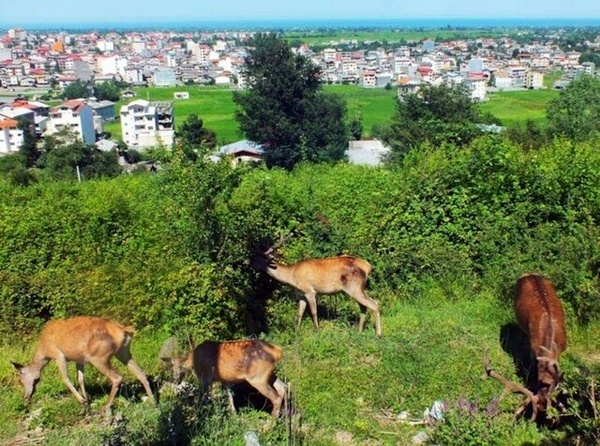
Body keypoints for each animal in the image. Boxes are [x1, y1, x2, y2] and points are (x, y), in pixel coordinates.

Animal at [12, 316, 157, 412]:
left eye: (20, 379)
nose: (25, 397)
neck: (44, 351)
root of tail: (124, 331)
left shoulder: (59, 355)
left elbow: (65, 378)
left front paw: (82, 400)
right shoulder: (79, 360)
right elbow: (80, 379)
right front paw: (86, 400)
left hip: (99, 357)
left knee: (117, 377)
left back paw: (105, 407)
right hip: (124, 352)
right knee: (141, 373)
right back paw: (153, 402)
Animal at [247, 235, 380, 336]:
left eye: (256, 257)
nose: (245, 261)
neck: (292, 277)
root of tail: (367, 267)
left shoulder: (310, 291)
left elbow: (314, 312)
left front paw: (317, 330)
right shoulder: (301, 294)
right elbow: (299, 313)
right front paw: (297, 332)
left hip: (354, 287)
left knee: (374, 304)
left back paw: (378, 334)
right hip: (357, 289)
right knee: (364, 307)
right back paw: (359, 331)